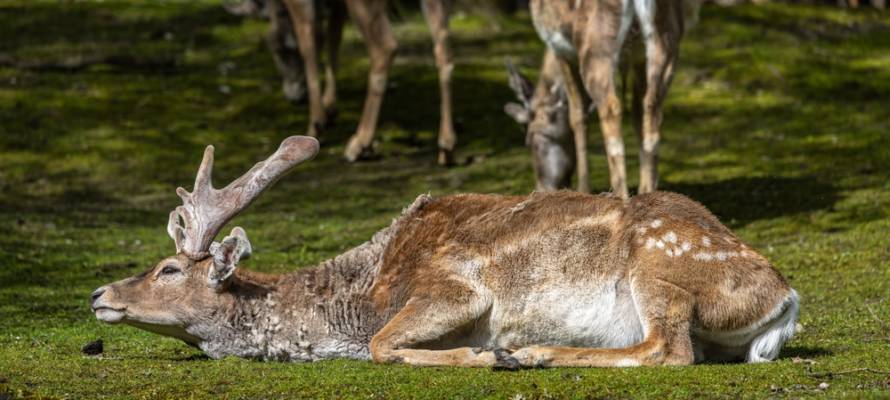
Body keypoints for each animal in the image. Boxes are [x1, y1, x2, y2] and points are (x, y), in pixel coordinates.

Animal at [91, 135, 799, 367]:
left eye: (168, 268)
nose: (98, 293)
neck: (357, 300)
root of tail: (787, 297)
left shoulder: (454, 286)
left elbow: (383, 347)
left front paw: (482, 356)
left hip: (661, 268)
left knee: (669, 350)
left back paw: (532, 353)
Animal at [505, 0, 704, 198]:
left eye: (530, 141)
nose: (541, 188)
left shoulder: (560, 47)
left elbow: (577, 115)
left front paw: (583, 189)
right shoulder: (638, 57)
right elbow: (637, 114)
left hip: (597, 47)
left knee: (611, 107)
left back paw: (620, 196)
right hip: (667, 37)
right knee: (651, 105)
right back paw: (648, 191)